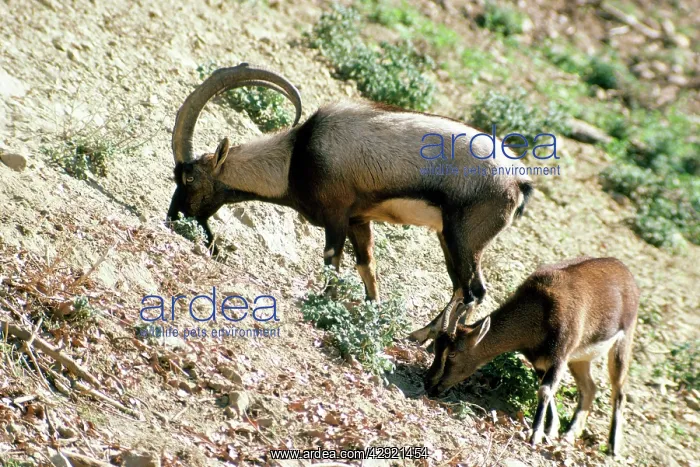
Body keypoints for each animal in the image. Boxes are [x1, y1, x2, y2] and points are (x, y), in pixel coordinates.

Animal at [166, 63, 534, 339]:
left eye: (189, 178)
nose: (172, 217)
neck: (295, 158)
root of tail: (518, 181)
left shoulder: (336, 215)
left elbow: (332, 261)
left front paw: (323, 305)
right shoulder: (360, 220)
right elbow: (366, 267)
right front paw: (371, 315)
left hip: (465, 238)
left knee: (474, 291)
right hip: (449, 238)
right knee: (461, 286)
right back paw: (419, 335)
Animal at [424, 256, 639, 456]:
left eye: (452, 353)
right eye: (436, 348)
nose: (430, 384)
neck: (540, 309)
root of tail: (626, 272)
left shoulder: (560, 355)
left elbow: (544, 391)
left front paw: (535, 435)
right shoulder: (540, 360)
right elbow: (545, 390)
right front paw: (551, 431)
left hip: (623, 340)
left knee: (619, 391)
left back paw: (613, 447)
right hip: (580, 358)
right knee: (589, 388)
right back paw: (569, 435)